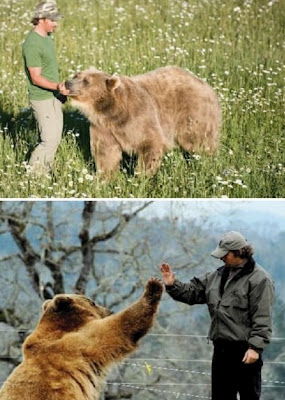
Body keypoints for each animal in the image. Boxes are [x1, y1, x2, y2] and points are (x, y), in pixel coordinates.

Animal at [65, 65, 221, 177]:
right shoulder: (103, 128)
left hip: (193, 113)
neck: (111, 112)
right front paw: (104, 179)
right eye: (76, 75)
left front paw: (141, 177)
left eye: (86, 81)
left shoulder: (139, 117)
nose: (67, 83)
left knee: (197, 141)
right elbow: (105, 153)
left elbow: (149, 144)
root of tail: (207, 86)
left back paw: (206, 161)